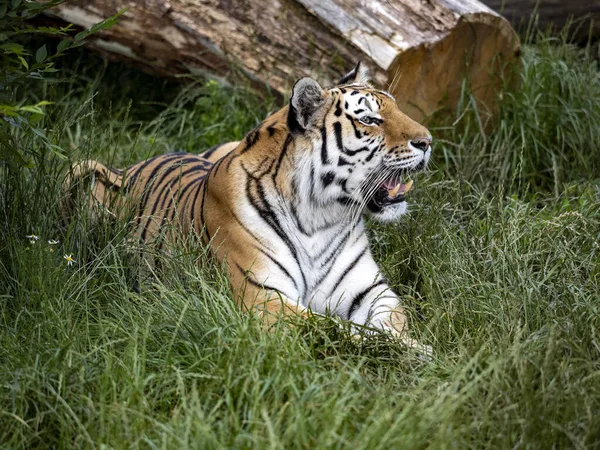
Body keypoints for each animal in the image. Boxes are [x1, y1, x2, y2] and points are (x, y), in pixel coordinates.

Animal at [70, 62, 434, 352]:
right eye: (370, 119)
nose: (428, 141)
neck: (322, 216)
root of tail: (128, 167)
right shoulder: (263, 299)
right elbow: (340, 329)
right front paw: (422, 354)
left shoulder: (371, 290)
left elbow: (389, 321)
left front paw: (415, 347)